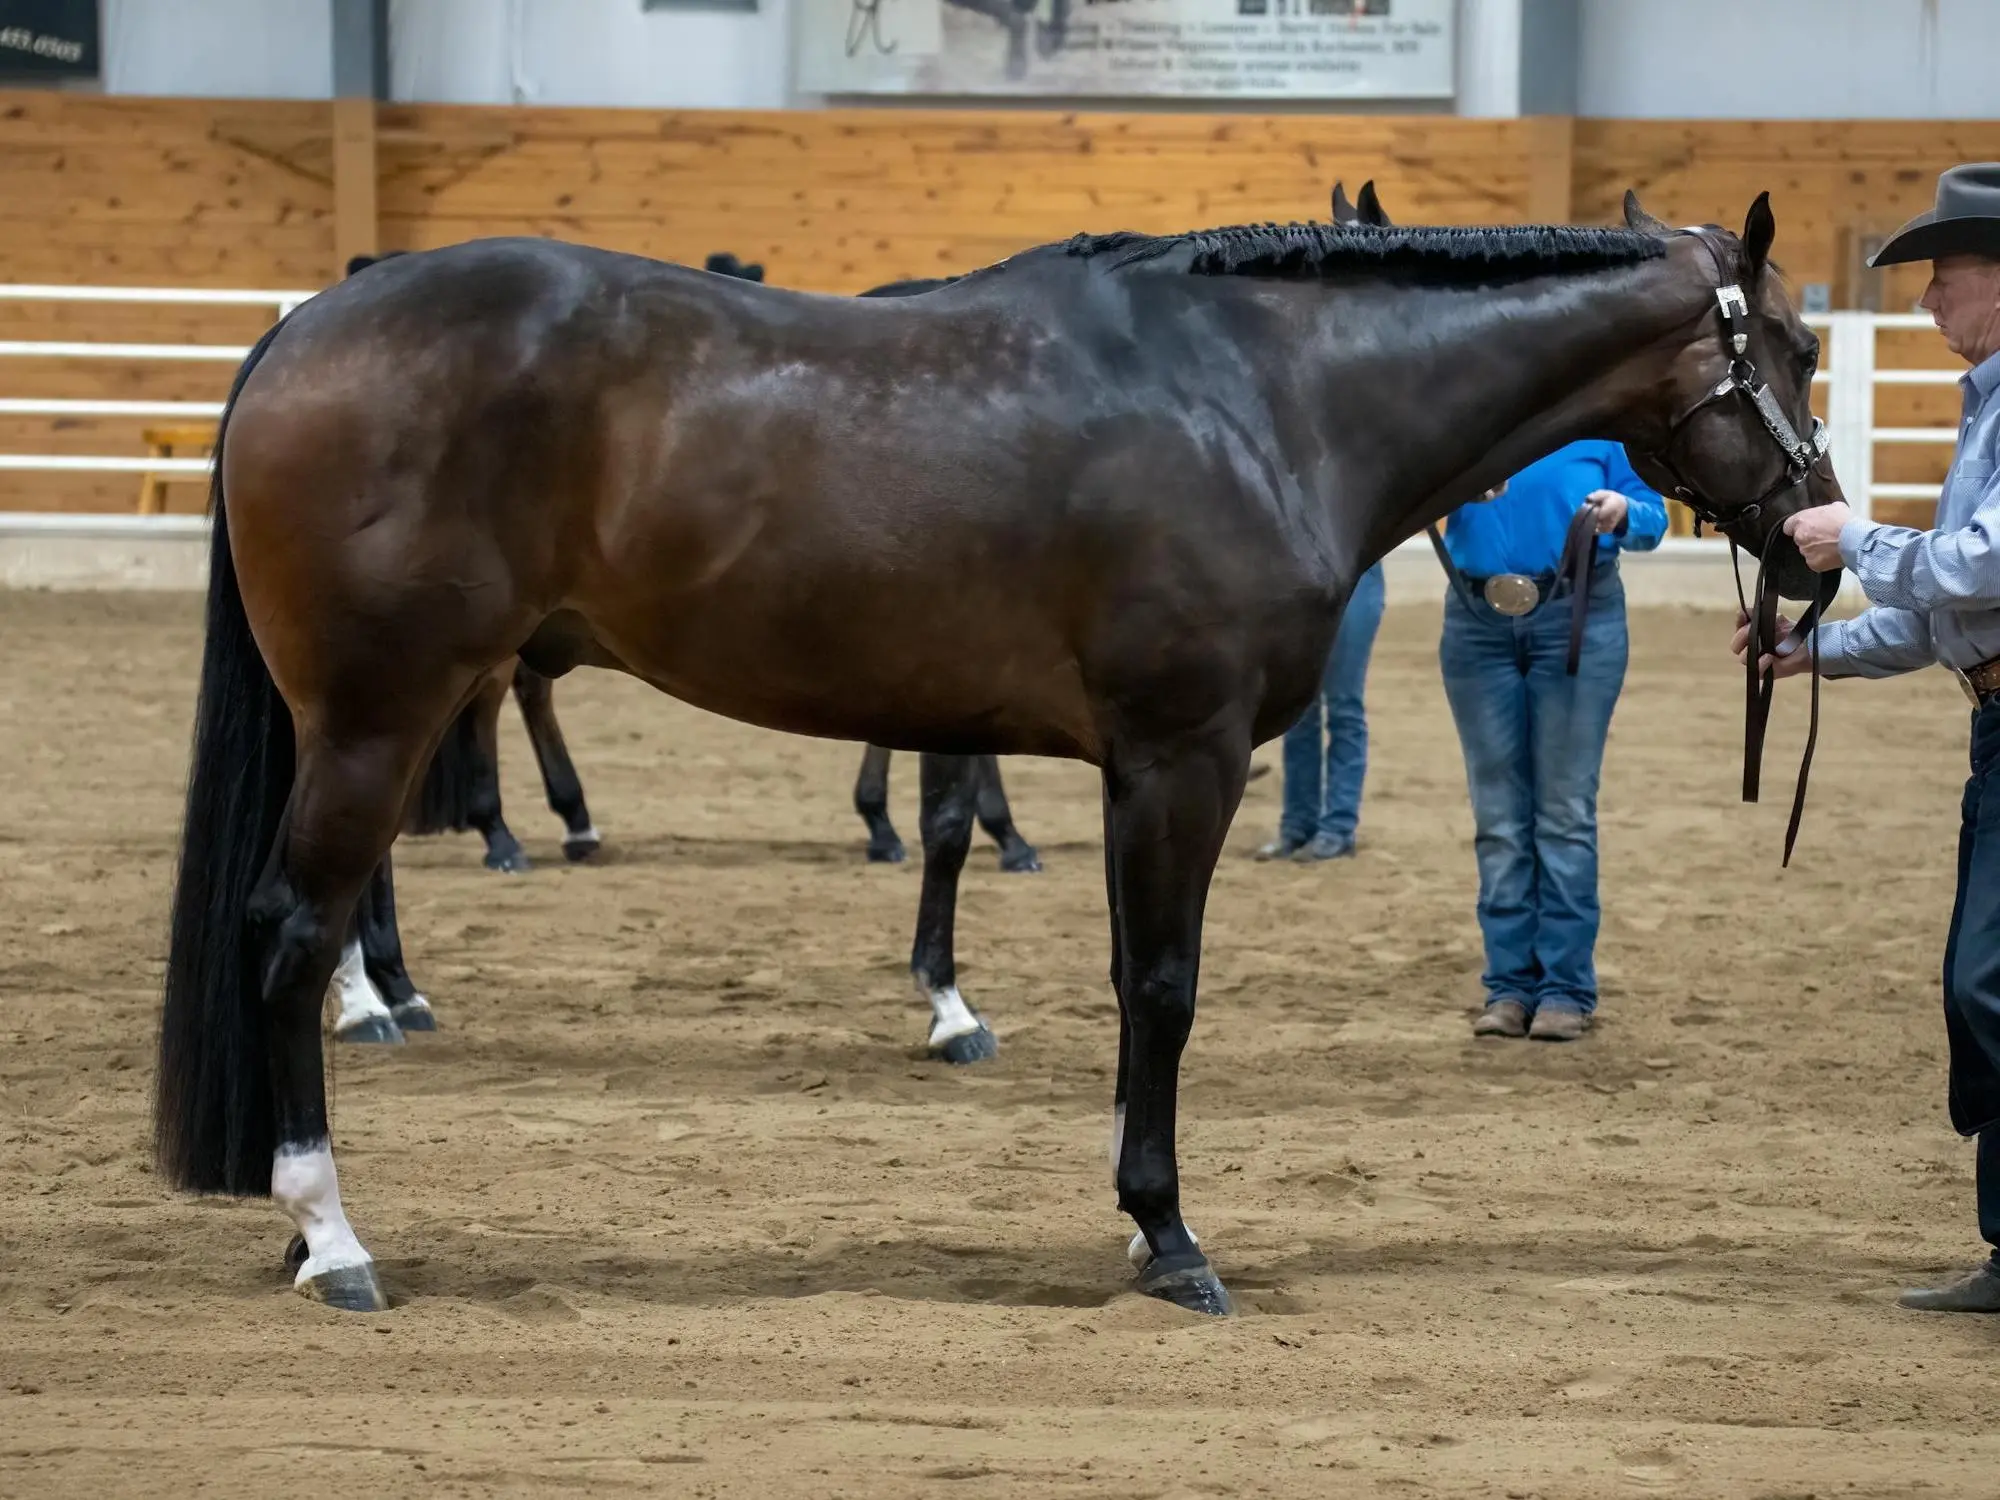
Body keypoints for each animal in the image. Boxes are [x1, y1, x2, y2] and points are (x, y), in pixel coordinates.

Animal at [152, 197, 1840, 1312]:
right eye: (1799, 345)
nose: (1820, 545)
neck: (1266, 397)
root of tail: (304, 326)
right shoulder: (1178, 760)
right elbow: (1160, 988)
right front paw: (1169, 1238)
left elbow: (1045, 908)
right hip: (381, 714)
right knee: (293, 933)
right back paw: (334, 1230)